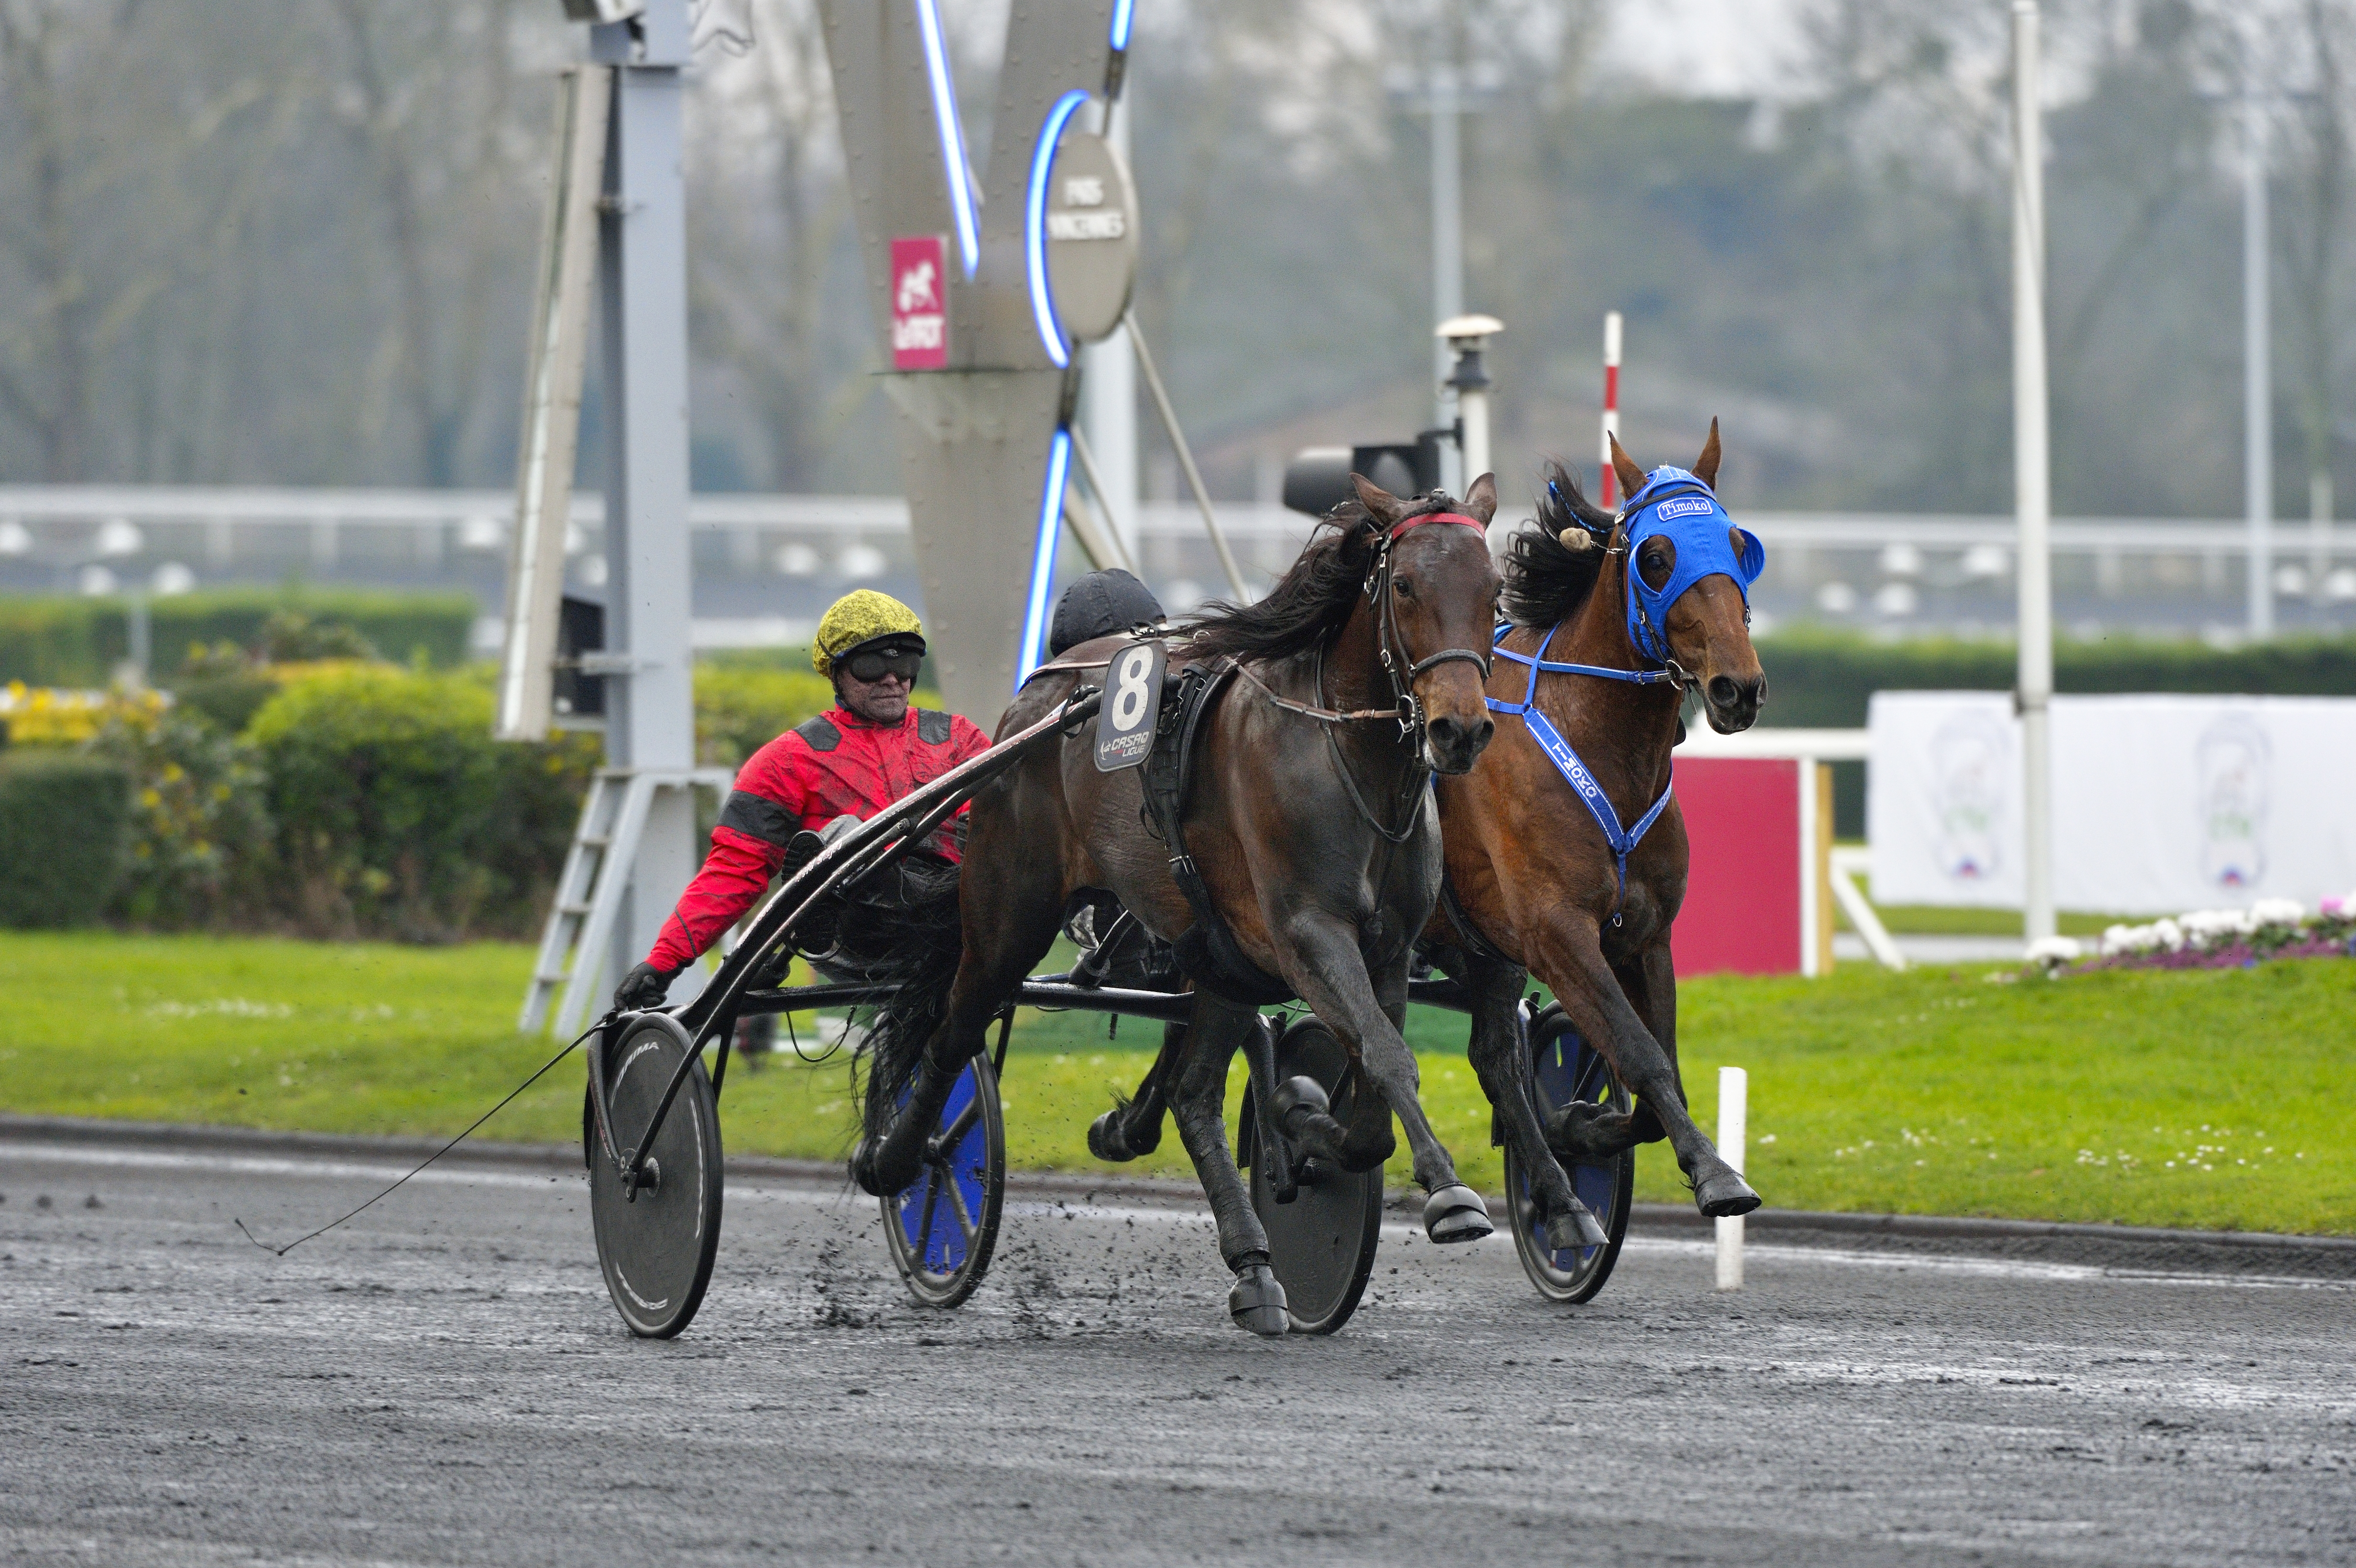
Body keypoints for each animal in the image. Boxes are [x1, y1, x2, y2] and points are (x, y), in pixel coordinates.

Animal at [867, 480, 1507, 1328]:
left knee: (1193, 1093)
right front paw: (1449, 1196)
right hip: (1010, 912)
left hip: (1219, 955)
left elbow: (1371, 1100)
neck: (1350, 761)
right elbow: (1386, 1056)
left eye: (1494, 590)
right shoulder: (1310, 936)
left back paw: (1253, 1265)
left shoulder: (1388, 947)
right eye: (1403, 586)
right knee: (953, 1030)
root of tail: (1039, 691)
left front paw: (1305, 1127)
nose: (1458, 729)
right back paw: (902, 1159)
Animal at [1413, 428, 1771, 1233]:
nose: (1738, 687)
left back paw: (1560, 1197)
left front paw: (1579, 1124)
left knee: (1493, 1056)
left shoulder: (1644, 935)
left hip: (1485, 949)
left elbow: (1654, 1081)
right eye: (1657, 556)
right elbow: (1639, 1054)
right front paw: (1715, 1173)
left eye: (1740, 545)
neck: (1598, 744)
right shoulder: (1558, 932)